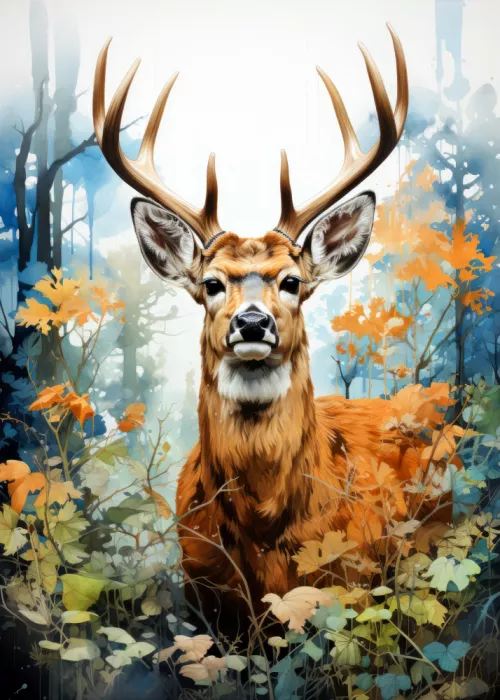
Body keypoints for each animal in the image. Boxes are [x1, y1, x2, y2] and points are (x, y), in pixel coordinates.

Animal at [92, 27, 446, 630]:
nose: (252, 321)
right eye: (211, 283)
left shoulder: (353, 582)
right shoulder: (203, 595)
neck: (264, 530)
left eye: (292, 281)